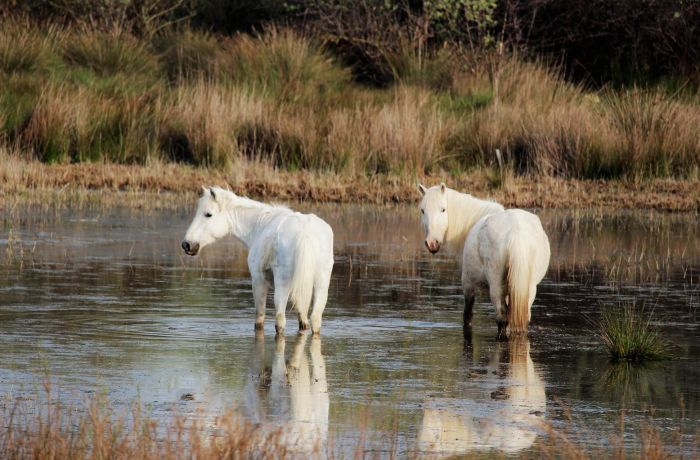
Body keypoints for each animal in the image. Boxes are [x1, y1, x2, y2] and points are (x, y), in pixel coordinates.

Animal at [182, 187, 334, 335]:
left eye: (208, 214)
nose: (187, 245)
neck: (261, 225)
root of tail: (305, 232)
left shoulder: (258, 281)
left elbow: (259, 320)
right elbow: (303, 321)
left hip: (283, 286)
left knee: (280, 320)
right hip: (321, 285)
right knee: (315, 319)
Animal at [418, 183, 550, 335]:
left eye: (443, 209)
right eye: (423, 210)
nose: (432, 243)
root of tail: (516, 232)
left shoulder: (468, 283)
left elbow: (467, 315)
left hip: (496, 287)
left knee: (501, 318)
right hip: (529, 288)